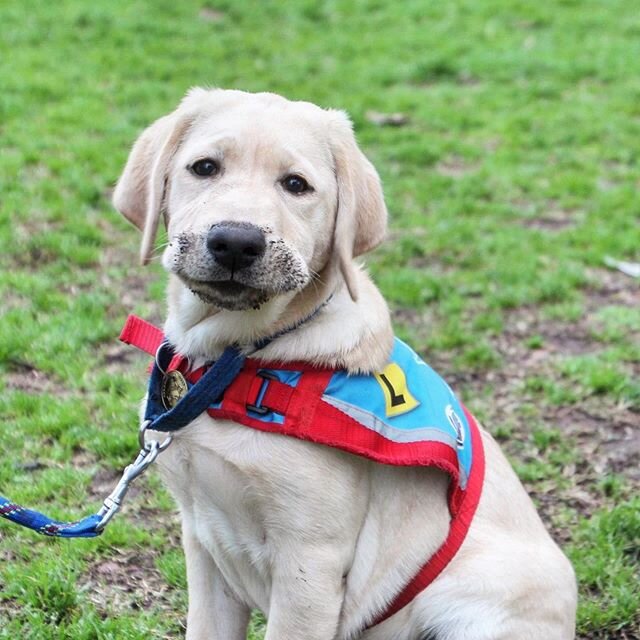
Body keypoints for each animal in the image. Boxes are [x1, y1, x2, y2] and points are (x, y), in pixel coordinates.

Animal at [112, 87, 576, 636]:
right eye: (204, 167)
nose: (235, 242)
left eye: (296, 185)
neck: (239, 363)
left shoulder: (310, 561)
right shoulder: (203, 540)